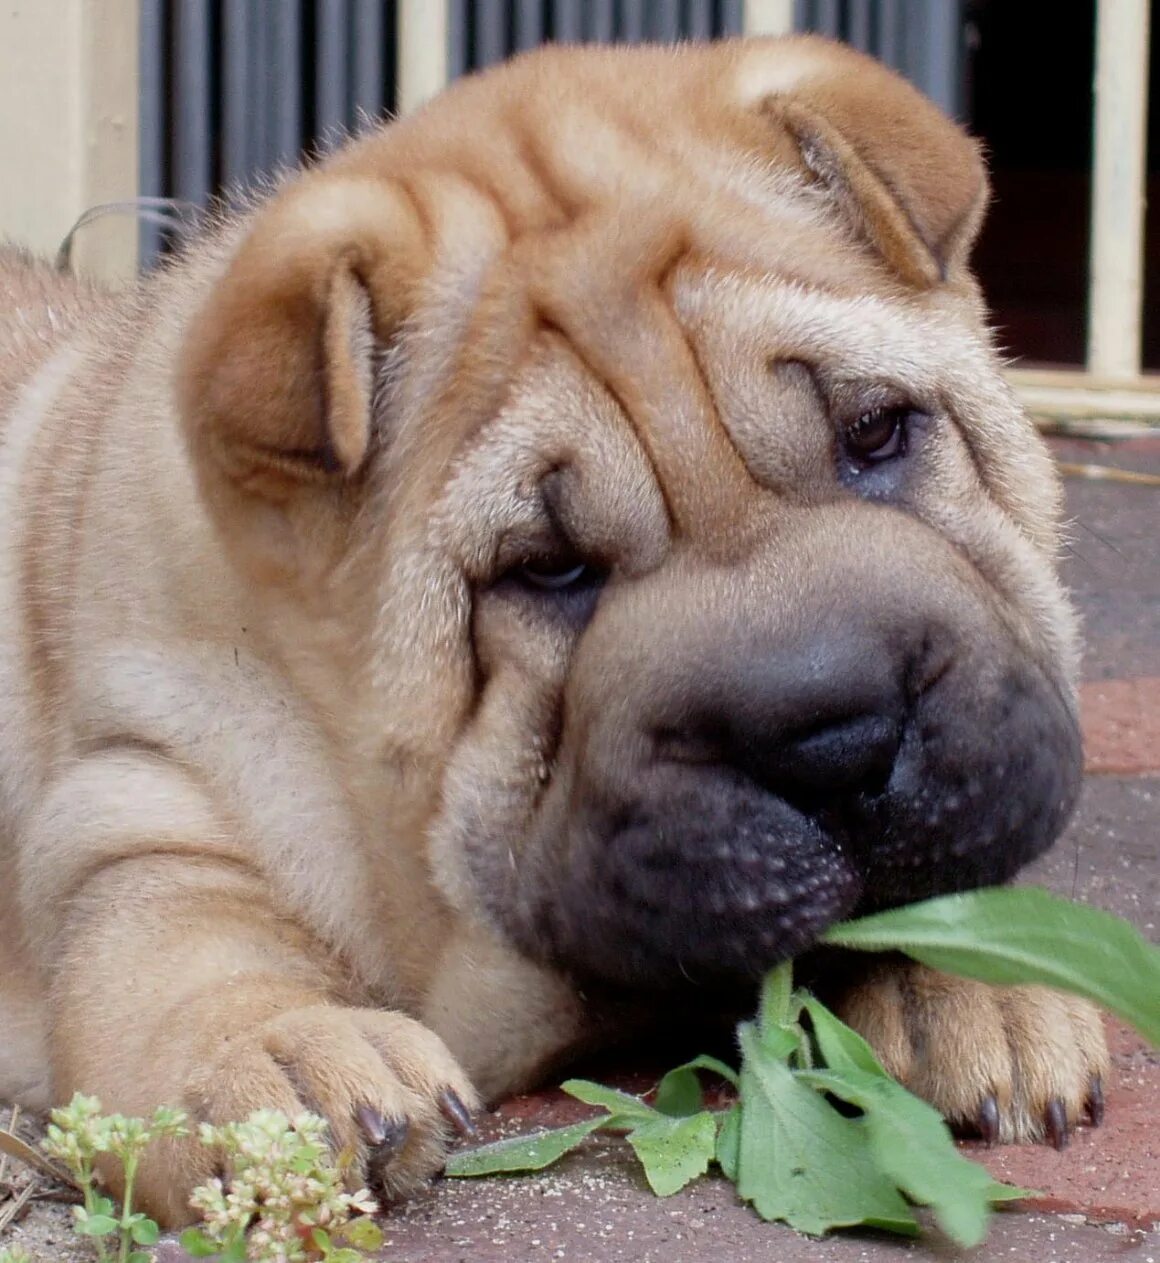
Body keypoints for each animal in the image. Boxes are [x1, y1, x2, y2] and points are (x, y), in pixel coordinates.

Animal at [0, 36, 1106, 1222]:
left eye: (874, 431)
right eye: (549, 567)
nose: (837, 744)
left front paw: (981, 978)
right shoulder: (135, 801)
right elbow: (185, 948)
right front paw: (283, 1060)